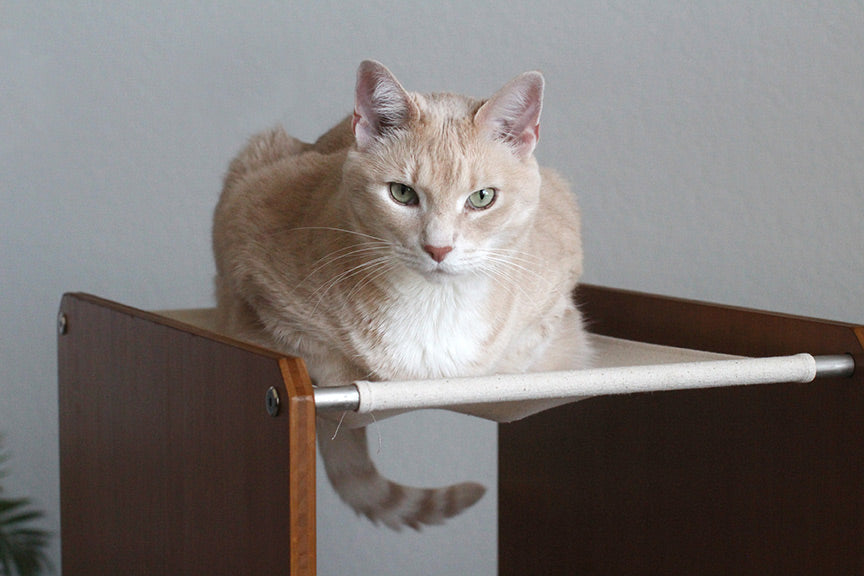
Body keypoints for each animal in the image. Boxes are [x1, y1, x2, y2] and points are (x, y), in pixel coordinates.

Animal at [212, 59, 592, 532]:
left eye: (482, 197)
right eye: (402, 193)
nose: (438, 248)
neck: (437, 307)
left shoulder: (555, 291)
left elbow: (518, 355)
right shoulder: (250, 266)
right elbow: (318, 354)